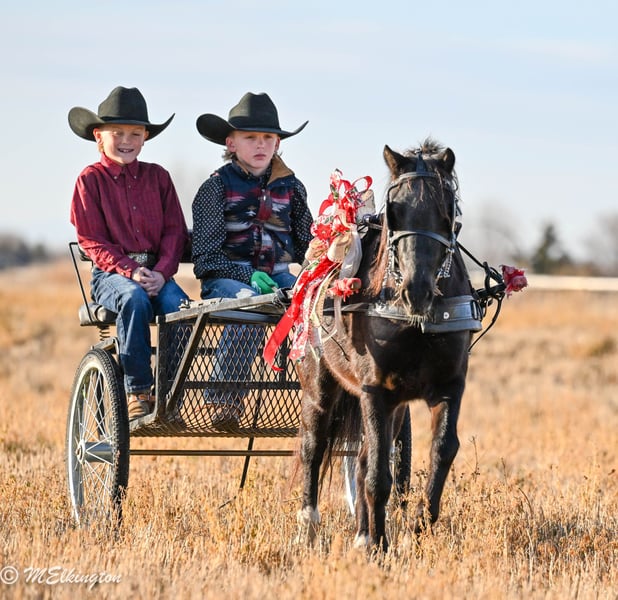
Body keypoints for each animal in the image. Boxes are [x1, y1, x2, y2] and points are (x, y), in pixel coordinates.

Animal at [295, 139, 481, 553]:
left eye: (446, 211)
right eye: (394, 210)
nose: (416, 290)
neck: (416, 322)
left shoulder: (449, 386)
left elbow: (442, 450)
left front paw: (417, 528)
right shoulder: (374, 389)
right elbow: (379, 473)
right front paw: (379, 545)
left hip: (395, 406)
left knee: (362, 456)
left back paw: (362, 533)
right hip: (319, 385)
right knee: (314, 447)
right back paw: (309, 526)